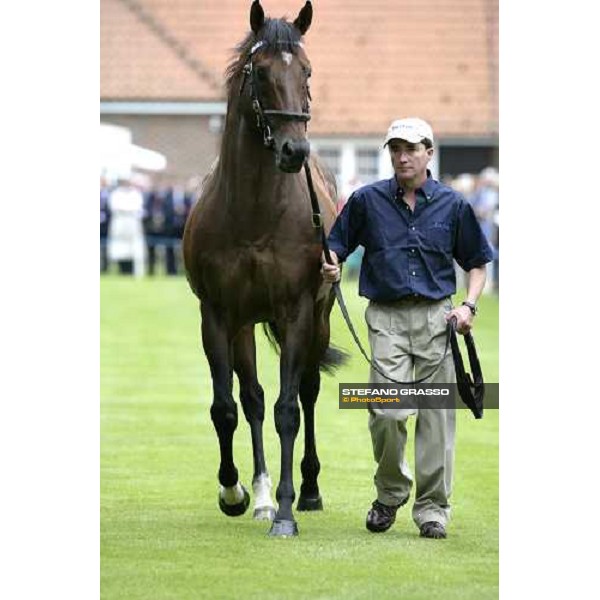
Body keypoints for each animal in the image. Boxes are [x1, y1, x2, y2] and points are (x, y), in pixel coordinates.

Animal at [182, 0, 346, 536]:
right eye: (260, 72)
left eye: (307, 71)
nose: (295, 151)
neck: (254, 213)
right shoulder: (217, 315)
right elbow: (227, 407)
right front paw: (234, 492)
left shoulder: (296, 312)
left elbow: (288, 410)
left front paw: (289, 511)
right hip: (246, 325)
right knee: (251, 397)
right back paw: (259, 497)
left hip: (318, 319)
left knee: (309, 391)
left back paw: (308, 490)